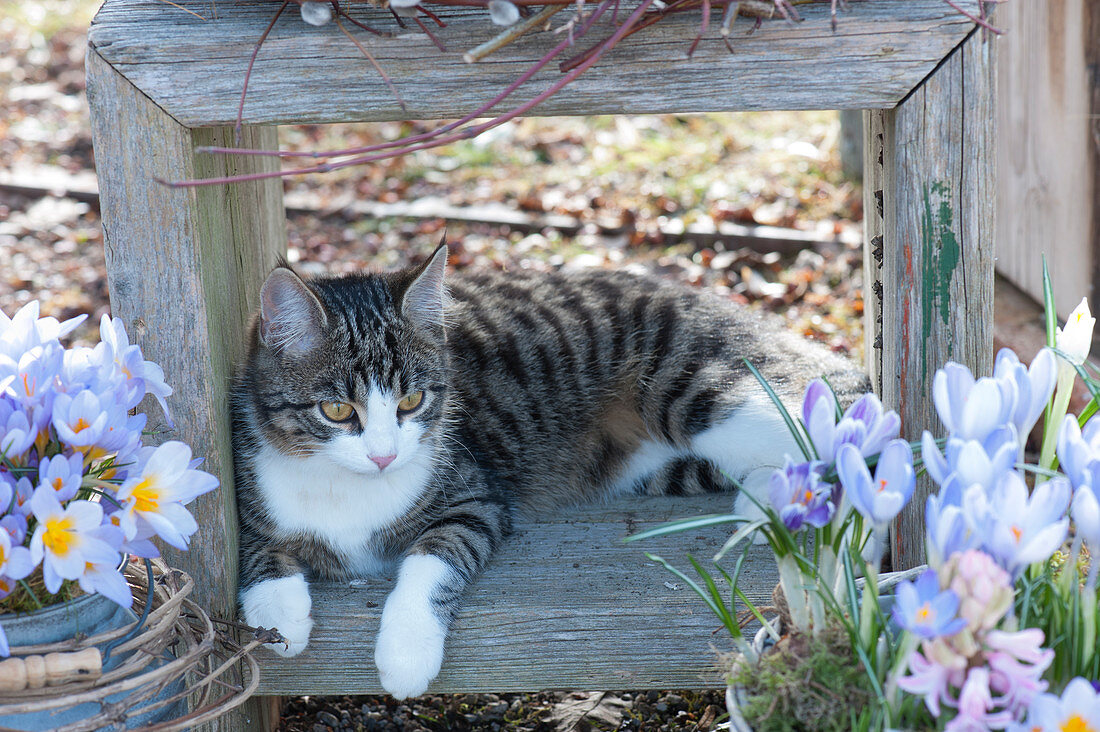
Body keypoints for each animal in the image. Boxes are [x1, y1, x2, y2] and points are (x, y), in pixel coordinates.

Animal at [234, 244, 866, 695]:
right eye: (338, 411)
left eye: (412, 401)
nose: (385, 455)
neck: (347, 489)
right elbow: (258, 549)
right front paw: (278, 614)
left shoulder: (476, 494)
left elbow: (434, 557)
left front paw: (405, 652)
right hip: (646, 462)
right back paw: (766, 496)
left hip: (698, 388)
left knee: (837, 412)